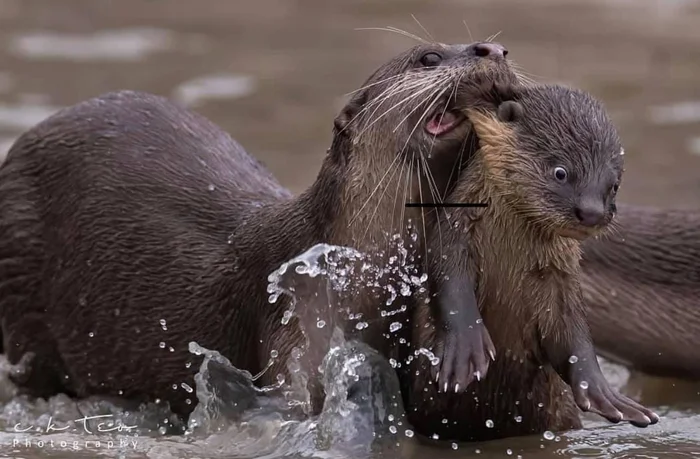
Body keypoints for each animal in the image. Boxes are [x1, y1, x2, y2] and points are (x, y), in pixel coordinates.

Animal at [408, 82, 660, 442]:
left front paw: (603, 392)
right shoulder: (454, 234)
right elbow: (449, 283)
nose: (592, 212)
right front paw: (465, 349)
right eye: (561, 172)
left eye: (613, 185)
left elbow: (572, 334)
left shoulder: (561, 276)